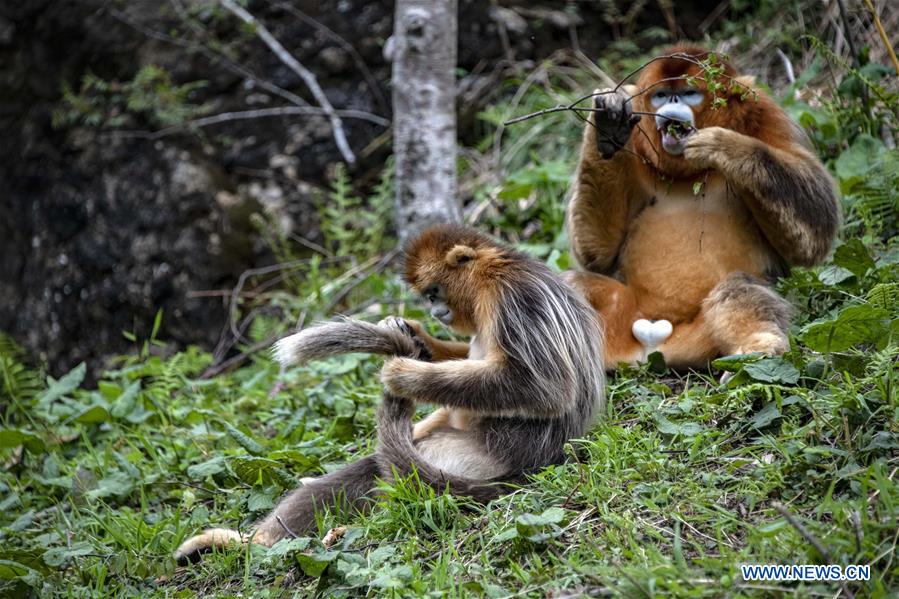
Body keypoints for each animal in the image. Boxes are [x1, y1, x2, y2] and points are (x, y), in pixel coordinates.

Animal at [173, 224, 605, 564]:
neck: (494, 270)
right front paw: (411, 333)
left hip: (474, 456)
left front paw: (403, 374)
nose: (435, 312)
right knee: (366, 469)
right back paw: (248, 543)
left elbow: (545, 388)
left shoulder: (516, 298)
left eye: (434, 292)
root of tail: (528, 469)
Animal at [564, 45, 840, 372]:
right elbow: (597, 256)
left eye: (688, 93)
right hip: (623, 321)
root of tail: (653, 342)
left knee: (739, 287)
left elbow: (814, 234)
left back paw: (756, 351)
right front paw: (608, 129)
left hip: (700, 340)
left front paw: (727, 147)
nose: (672, 102)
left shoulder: (767, 116)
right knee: (570, 284)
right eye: (661, 95)